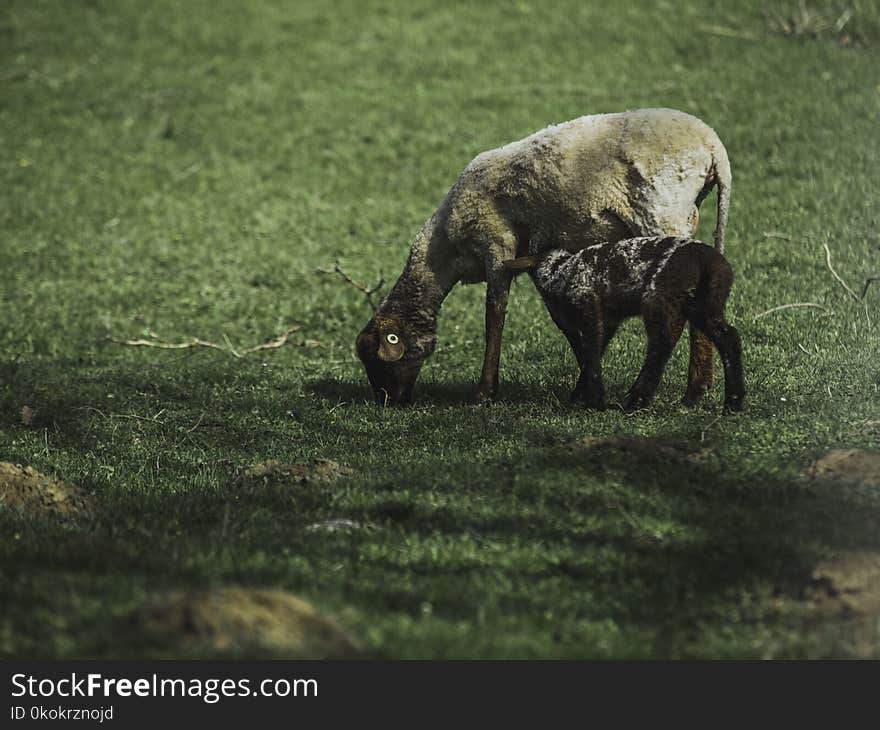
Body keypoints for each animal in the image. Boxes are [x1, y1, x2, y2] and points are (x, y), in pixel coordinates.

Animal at [506, 236, 744, 412]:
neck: (560, 270)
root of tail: (708, 259)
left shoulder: (588, 304)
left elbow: (591, 353)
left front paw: (595, 401)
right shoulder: (609, 319)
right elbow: (590, 355)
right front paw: (578, 396)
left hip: (659, 298)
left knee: (661, 345)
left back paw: (636, 400)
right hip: (706, 303)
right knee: (729, 338)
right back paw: (733, 402)